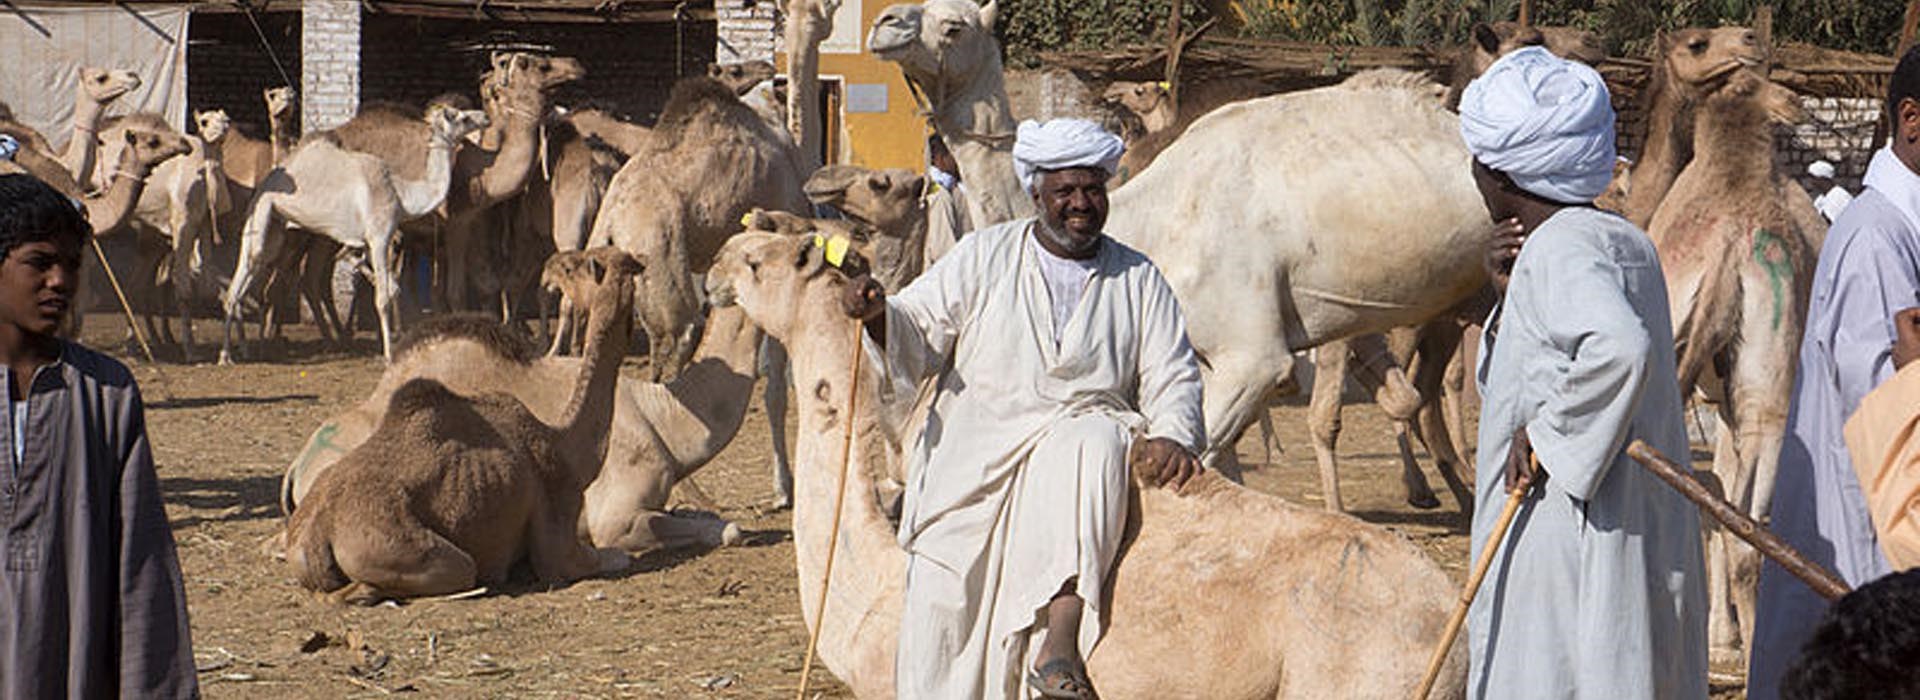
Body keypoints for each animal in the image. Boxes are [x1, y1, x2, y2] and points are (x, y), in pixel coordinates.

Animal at [219, 107, 491, 366]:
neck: (402, 195)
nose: (485, 117)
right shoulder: (380, 237)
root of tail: (267, 180)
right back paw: (227, 354)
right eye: (461, 117)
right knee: (248, 272)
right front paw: (388, 355)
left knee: (250, 274)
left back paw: (246, 350)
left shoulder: (368, 242)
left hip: (278, 225)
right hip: (262, 211)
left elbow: (389, 287)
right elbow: (382, 297)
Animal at [282, 247, 645, 598]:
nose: (548, 271)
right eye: (573, 267)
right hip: (402, 548)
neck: (564, 441)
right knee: (445, 572)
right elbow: (611, 557)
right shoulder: (560, 534)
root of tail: (313, 538)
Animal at [1643, 65, 1820, 663]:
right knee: (1748, 529)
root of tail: (1730, 247)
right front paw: (1723, 637)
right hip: (1767, 397)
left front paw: (1719, 637)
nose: (1796, 102)